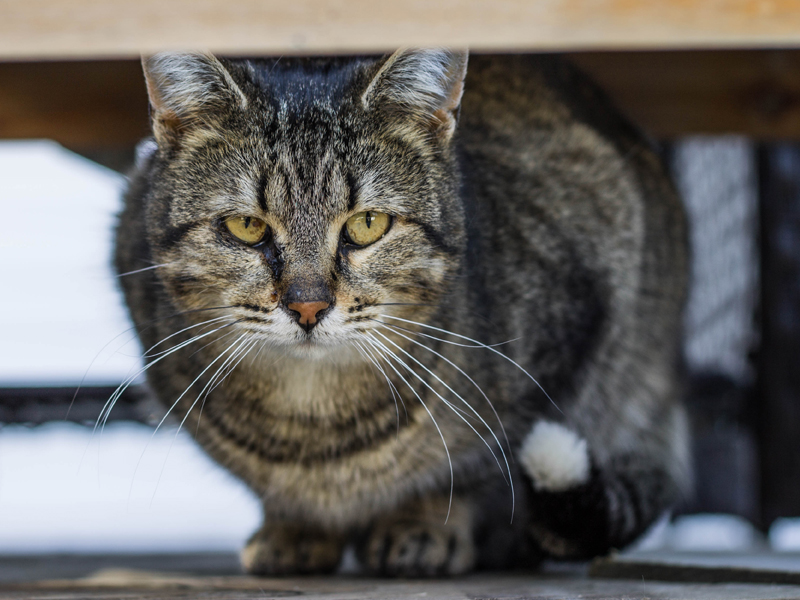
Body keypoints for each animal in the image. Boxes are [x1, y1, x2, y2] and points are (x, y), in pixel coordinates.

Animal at [115, 51, 692, 576]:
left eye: (367, 224)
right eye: (246, 227)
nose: (307, 305)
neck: (313, 426)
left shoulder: (571, 343)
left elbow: (476, 468)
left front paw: (422, 525)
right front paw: (295, 530)